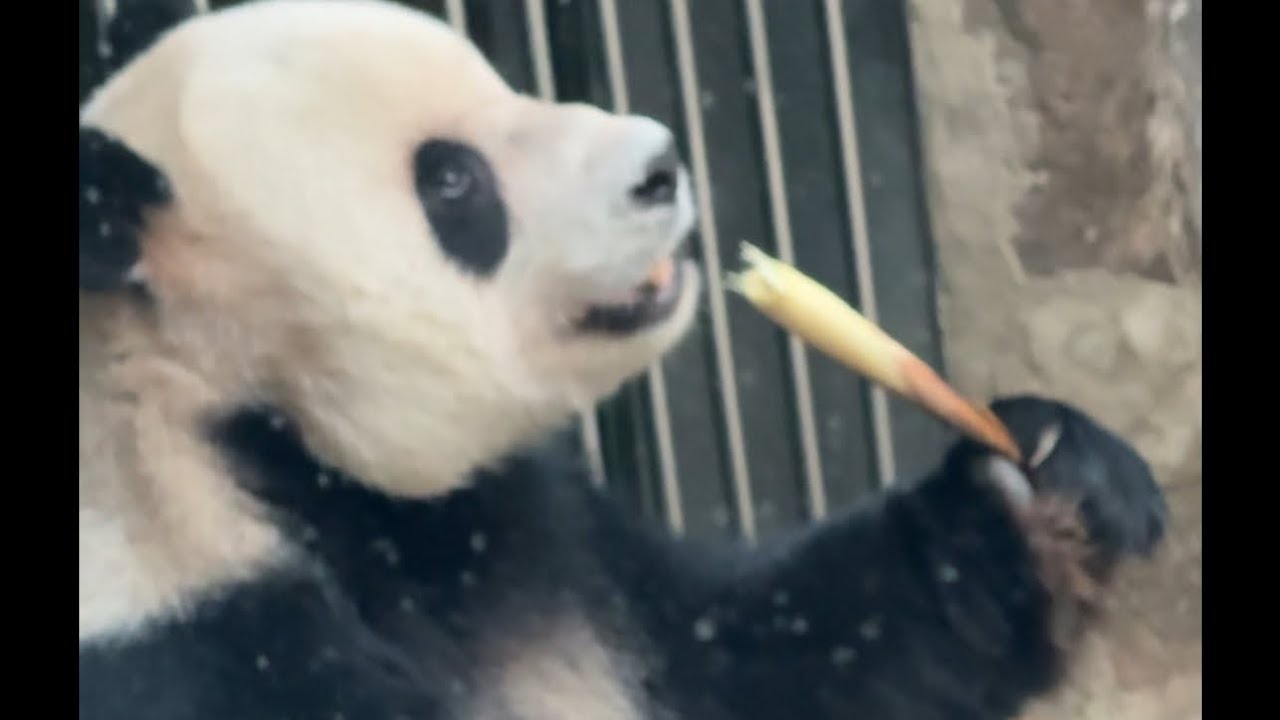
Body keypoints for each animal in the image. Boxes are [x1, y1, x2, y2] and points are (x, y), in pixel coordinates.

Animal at [77, 1, 1169, 719]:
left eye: (500, 79)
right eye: (450, 180)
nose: (660, 165)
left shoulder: (535, 541)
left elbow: (757, 653)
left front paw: (1036, 488)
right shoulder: (185, 634)